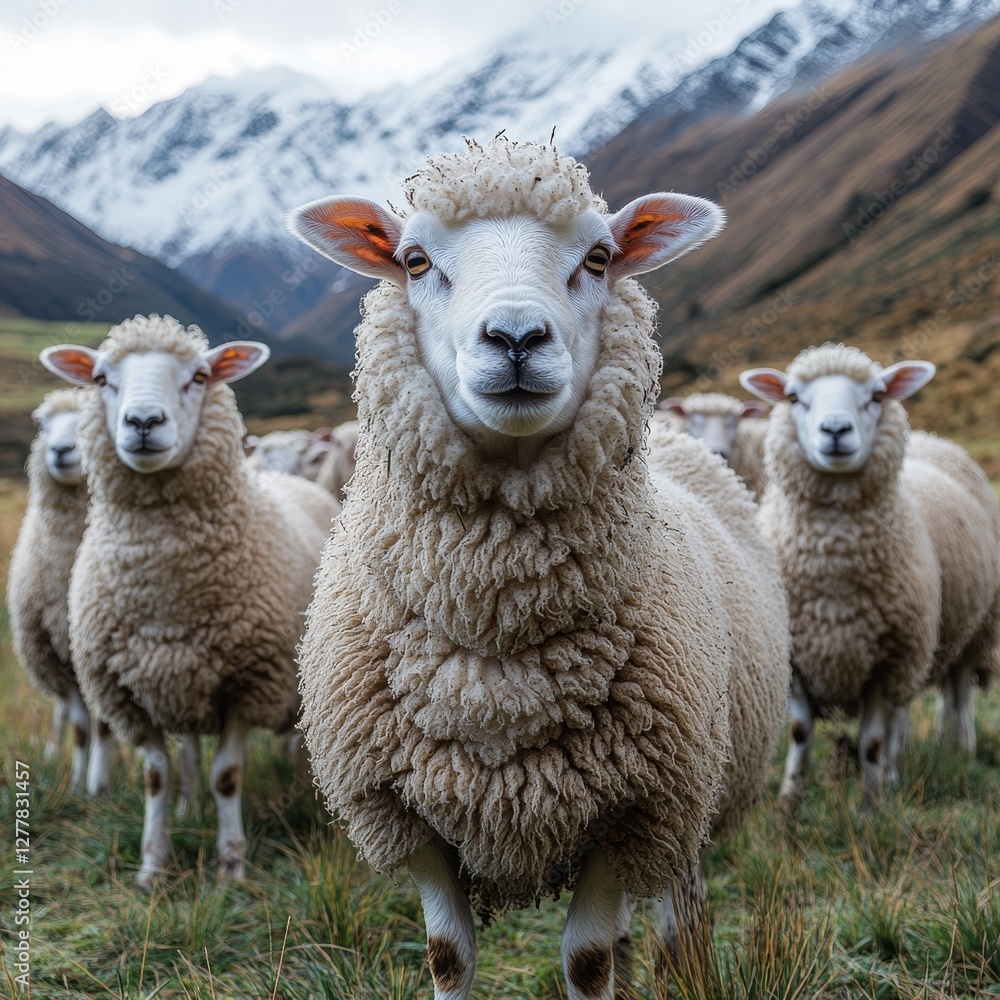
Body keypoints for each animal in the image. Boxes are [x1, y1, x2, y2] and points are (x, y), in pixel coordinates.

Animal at [8, 388, 114, 793]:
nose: (60, 450)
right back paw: (52, 757)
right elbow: (82, 729)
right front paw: (76, 788)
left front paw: (98, 788)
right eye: (42, 425)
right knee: (63, 716)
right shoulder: (55, 654)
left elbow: (103, 725)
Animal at [40, 315, 341, 887]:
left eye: (200, 376)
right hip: (181, 682)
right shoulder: (129, 694)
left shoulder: (247, 683)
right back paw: (189, 806)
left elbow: (229, 775)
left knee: (291, 742)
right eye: (101, 378)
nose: (142, 421)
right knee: (189, 752)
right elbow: (157, 777)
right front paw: (152, 865)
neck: (166, 598)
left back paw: (295, 791)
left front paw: (232, 863)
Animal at [289, 137, 790, 999]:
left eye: (599, 257)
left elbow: (586, 962)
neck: (497, 655)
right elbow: (448, 956)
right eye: (415, 260)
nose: (516, 337)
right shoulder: (407, 813)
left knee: (679, 905)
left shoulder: (634, 809)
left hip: (695, 789)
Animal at [741, 343, 1000, 812]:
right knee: (910, 711)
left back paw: (961, 749)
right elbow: (801, 733)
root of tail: (934, 440)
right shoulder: (798, 656)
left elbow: (873, 742)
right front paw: (788, 804)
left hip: (972, 628)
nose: (835, 430)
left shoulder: (888, 658)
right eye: (792, 397)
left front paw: (869, 807)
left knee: (959, 694)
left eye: (877, 396)